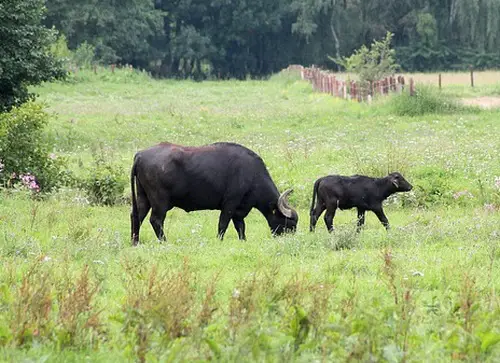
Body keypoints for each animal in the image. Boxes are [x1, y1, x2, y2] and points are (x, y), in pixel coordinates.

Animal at [131, 141, 298, 245]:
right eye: (290, 223)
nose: (291, 238)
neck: (252, 174)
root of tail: (140, 155)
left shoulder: (239, 210)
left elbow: (240, 227)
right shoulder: (230, 204)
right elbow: (223, 224)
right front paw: (219, 240)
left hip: (143, 198)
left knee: (136, 216)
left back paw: (135, 242)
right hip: (159, 201)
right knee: (156, 220)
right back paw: (164, 241)